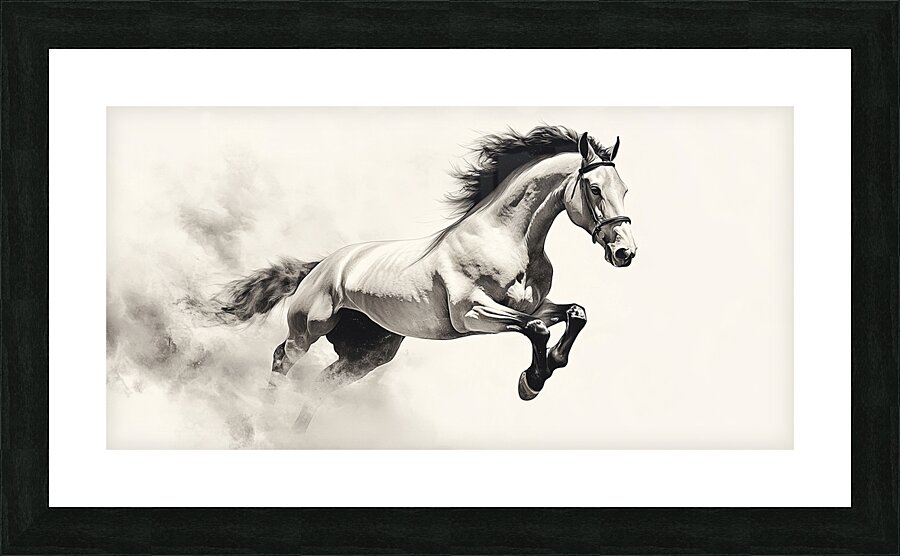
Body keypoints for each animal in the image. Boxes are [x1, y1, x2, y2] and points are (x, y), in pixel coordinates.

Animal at [215, 125, 637, 430]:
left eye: (625, 189)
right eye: (595, 188)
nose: (625, 253)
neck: (506, 241)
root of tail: (323, 265)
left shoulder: (536, 304)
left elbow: (575, 313)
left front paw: (546, 368)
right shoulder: (471, 315)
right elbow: (536, 328)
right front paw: (531, 381)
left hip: (369, 353)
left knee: (321, 384)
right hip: (308, 329)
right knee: (282, 358)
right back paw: (260, 425)